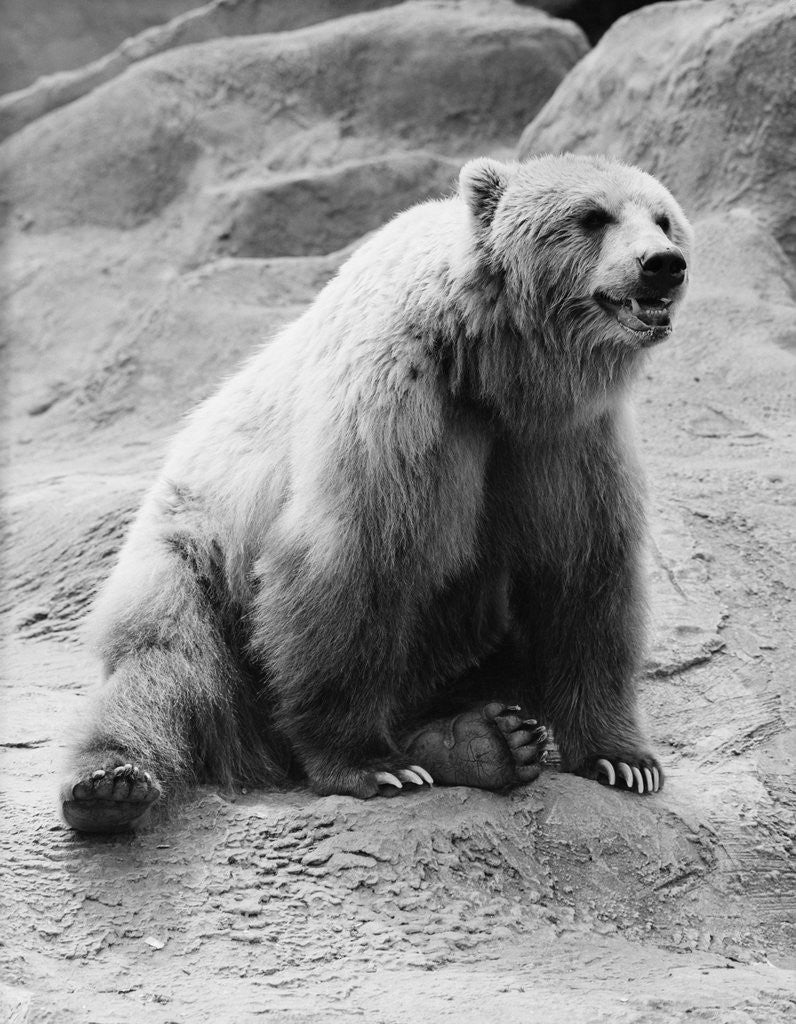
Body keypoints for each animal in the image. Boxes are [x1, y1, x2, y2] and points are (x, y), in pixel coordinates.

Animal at [60, 153, 692, 833]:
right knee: (166, 667)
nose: (662, 264)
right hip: (193, 557)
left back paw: (486, 740)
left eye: (663, 217)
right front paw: (368, 764)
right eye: (592, 217)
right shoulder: (397, 401)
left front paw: (622, 759)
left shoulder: (565, 443)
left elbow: (584, 577)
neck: (494, 366)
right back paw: (109, 783)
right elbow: (360, 561)